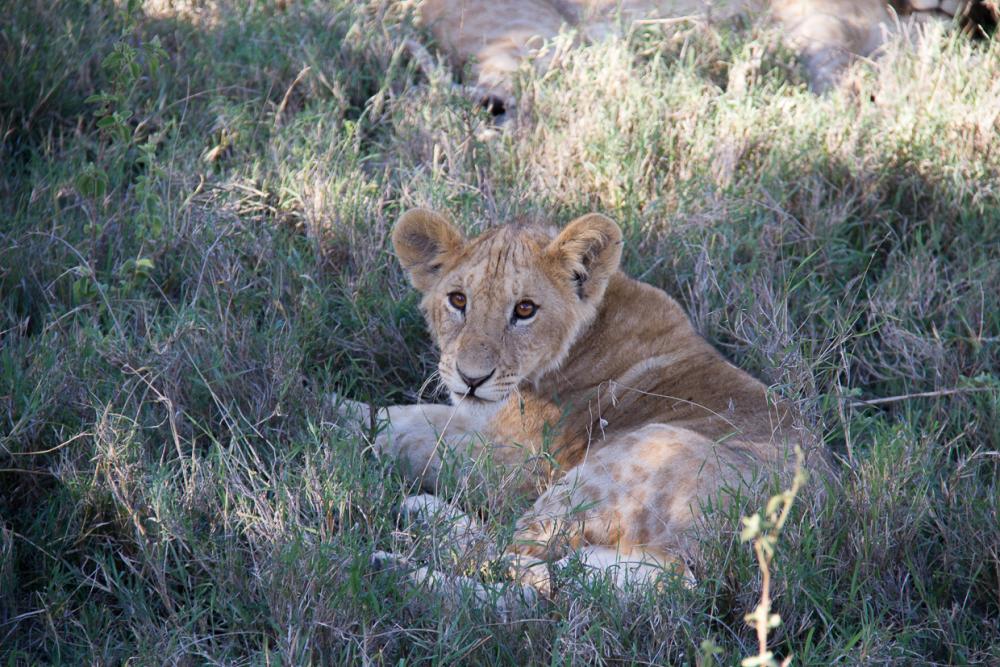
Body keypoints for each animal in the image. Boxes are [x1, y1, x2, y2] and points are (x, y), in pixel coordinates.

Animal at [338, 209, 809, 595]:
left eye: (525, 309)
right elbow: (413, 416)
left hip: (610, 469)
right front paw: (342, 407)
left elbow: (408, 438)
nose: (472, 379)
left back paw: (400, 547)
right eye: (458, 300)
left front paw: (334, 427)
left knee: (514, 562)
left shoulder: (516, 465)